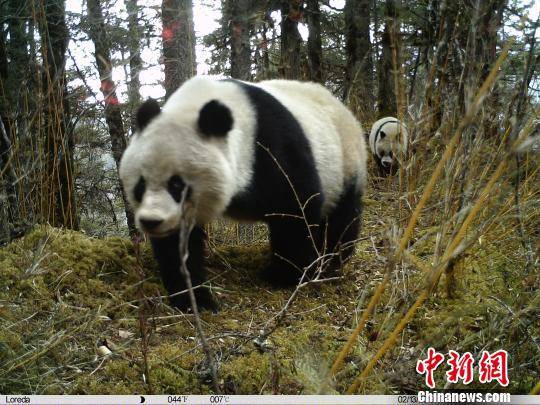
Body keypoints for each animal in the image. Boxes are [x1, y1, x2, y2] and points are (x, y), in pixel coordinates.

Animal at [120, 76, 370, 310]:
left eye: (177, 185)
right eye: (140, 185)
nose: (151, 221)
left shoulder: (272, 147)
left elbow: (296, 207)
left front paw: (284, 275)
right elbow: (178, 245)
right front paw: (193, 299)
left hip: (344, 161)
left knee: (342, 216)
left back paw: (331, 259)